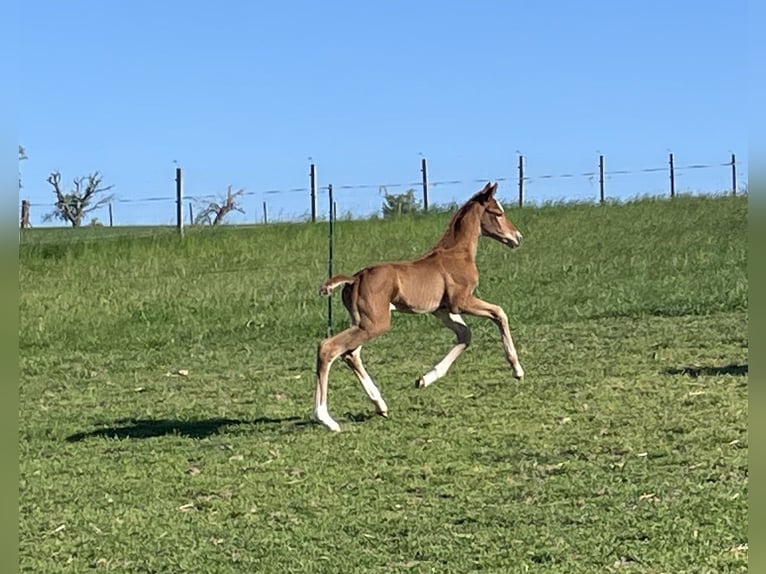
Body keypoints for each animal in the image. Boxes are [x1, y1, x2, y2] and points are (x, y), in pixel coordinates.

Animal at [316, 183, 524, 432]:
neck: (457, 253)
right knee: (328, 347)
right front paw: (517, 370)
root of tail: (355, 278)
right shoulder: (462, 301)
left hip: (362, 322)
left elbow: (465, 335)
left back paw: (380, 405)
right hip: (375, 323)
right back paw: (326, 419)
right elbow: (499, 313)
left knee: (350, 354)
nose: (517, 237)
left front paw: (424, 379)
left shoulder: (442, 310)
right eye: (498, 212)